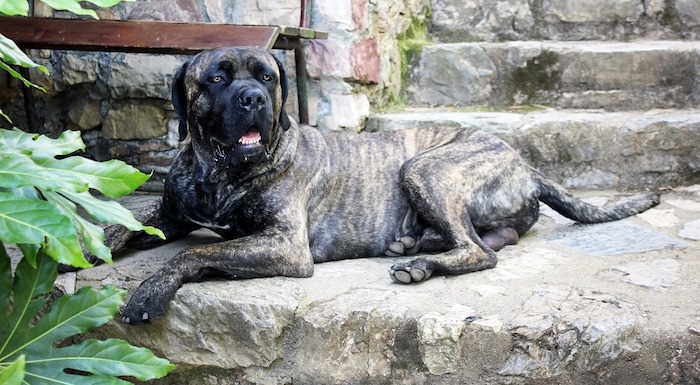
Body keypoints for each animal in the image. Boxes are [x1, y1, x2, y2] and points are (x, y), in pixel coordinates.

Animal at [113, 47, 656, 324]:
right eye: (217, 79)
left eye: (267, 78)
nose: (253, 99)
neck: (219, 172)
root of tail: (525, 162)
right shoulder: (168, 216)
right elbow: (116, 226)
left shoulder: (285, 245)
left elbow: (197, 253)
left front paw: (150, 291)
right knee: (488, 238)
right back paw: (415, 244)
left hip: (424, 168)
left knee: (480, 252)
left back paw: (418, 264)